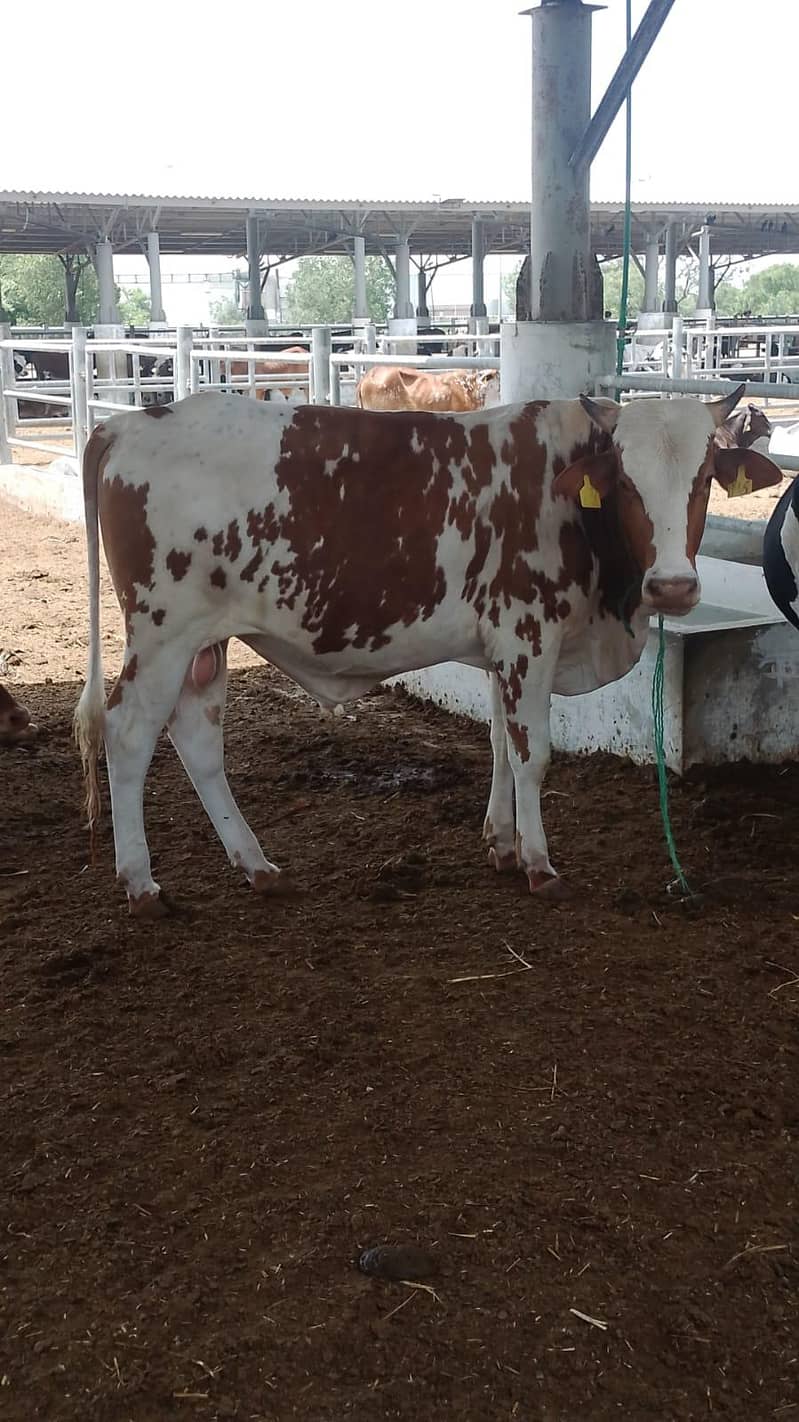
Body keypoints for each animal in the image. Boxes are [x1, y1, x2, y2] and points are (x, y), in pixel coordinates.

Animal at [73, 383, 782, 918]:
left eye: (703, 480)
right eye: (628, 483)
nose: (673, 586)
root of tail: (126, 423)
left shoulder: (500, 647)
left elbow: (500, 743)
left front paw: (501, 844)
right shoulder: (528, 635)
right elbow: (532, 754)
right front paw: (539, 864)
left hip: (205, 643)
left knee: (197, 739)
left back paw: (257, 866)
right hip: (163, 635)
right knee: (130, 732)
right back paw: (142, 884)